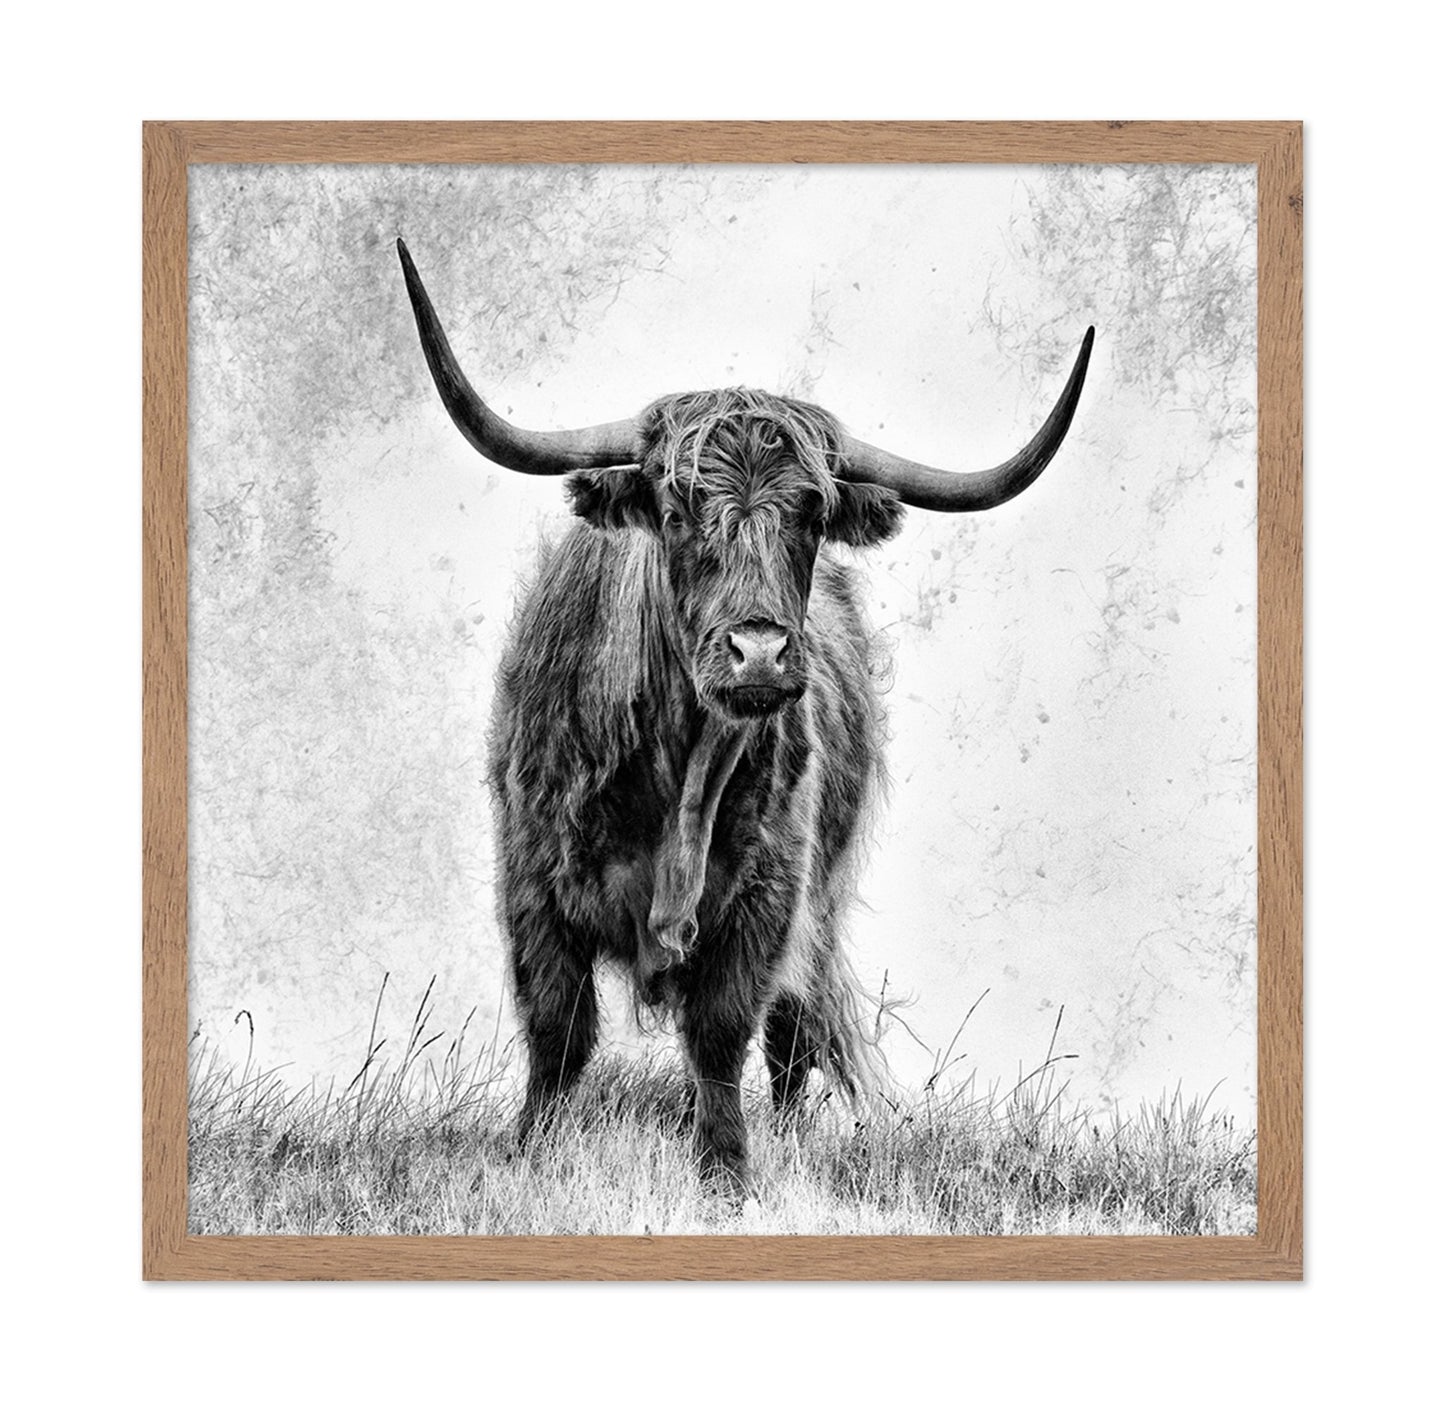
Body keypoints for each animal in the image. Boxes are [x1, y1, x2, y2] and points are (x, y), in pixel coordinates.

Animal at [396, 238, 1093, 1193]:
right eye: (676, 506)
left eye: (812, 510)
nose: (759, 652)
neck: (676, 782)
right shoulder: (532, 887)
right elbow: (557, 1030)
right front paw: (531, 1152)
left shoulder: (770, 899)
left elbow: (724, 1034)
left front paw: (725, 1173)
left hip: (820, 902)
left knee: (793, 1034)